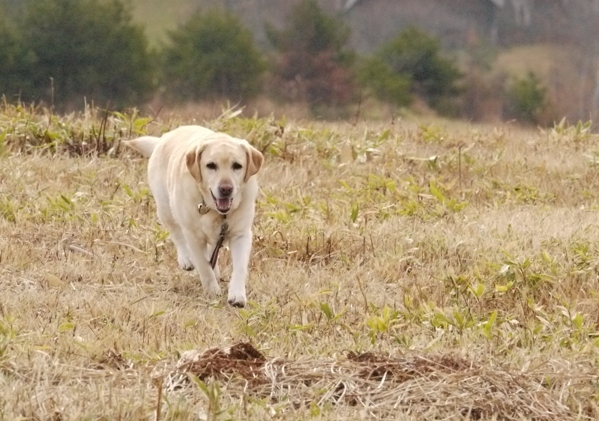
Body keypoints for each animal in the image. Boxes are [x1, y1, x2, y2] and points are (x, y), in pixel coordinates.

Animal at [125, 124, 264, 306]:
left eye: (237, 166)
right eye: (211, 165)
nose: (226, 189)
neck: (215, 211)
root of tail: (164, 137)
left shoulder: (241, 235)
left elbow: (239, 267)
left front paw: (237, 295)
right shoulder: (193, 236)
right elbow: (203, 266)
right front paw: (212, 291)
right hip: (165, 208)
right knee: (177, 234)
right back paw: (186, 260)